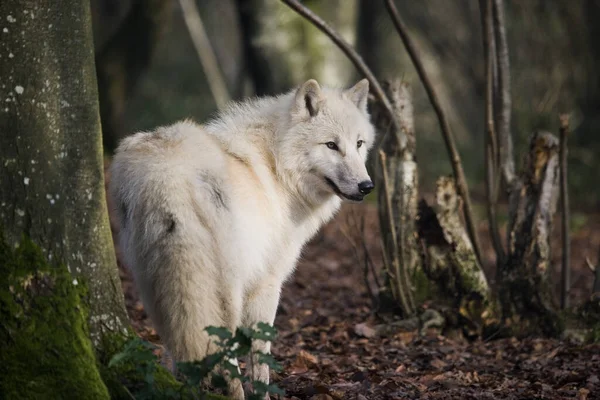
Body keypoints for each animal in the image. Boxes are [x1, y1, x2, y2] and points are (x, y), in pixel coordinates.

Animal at [108, 78, 376, 396]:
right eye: (331, 145)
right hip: (227, 291)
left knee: (175, 342)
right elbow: (261, 357)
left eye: (359, 143)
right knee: (224, 351)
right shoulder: (267, 284)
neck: (276, 165)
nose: (367, 186)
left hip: (155, 286)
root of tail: (167, 175)